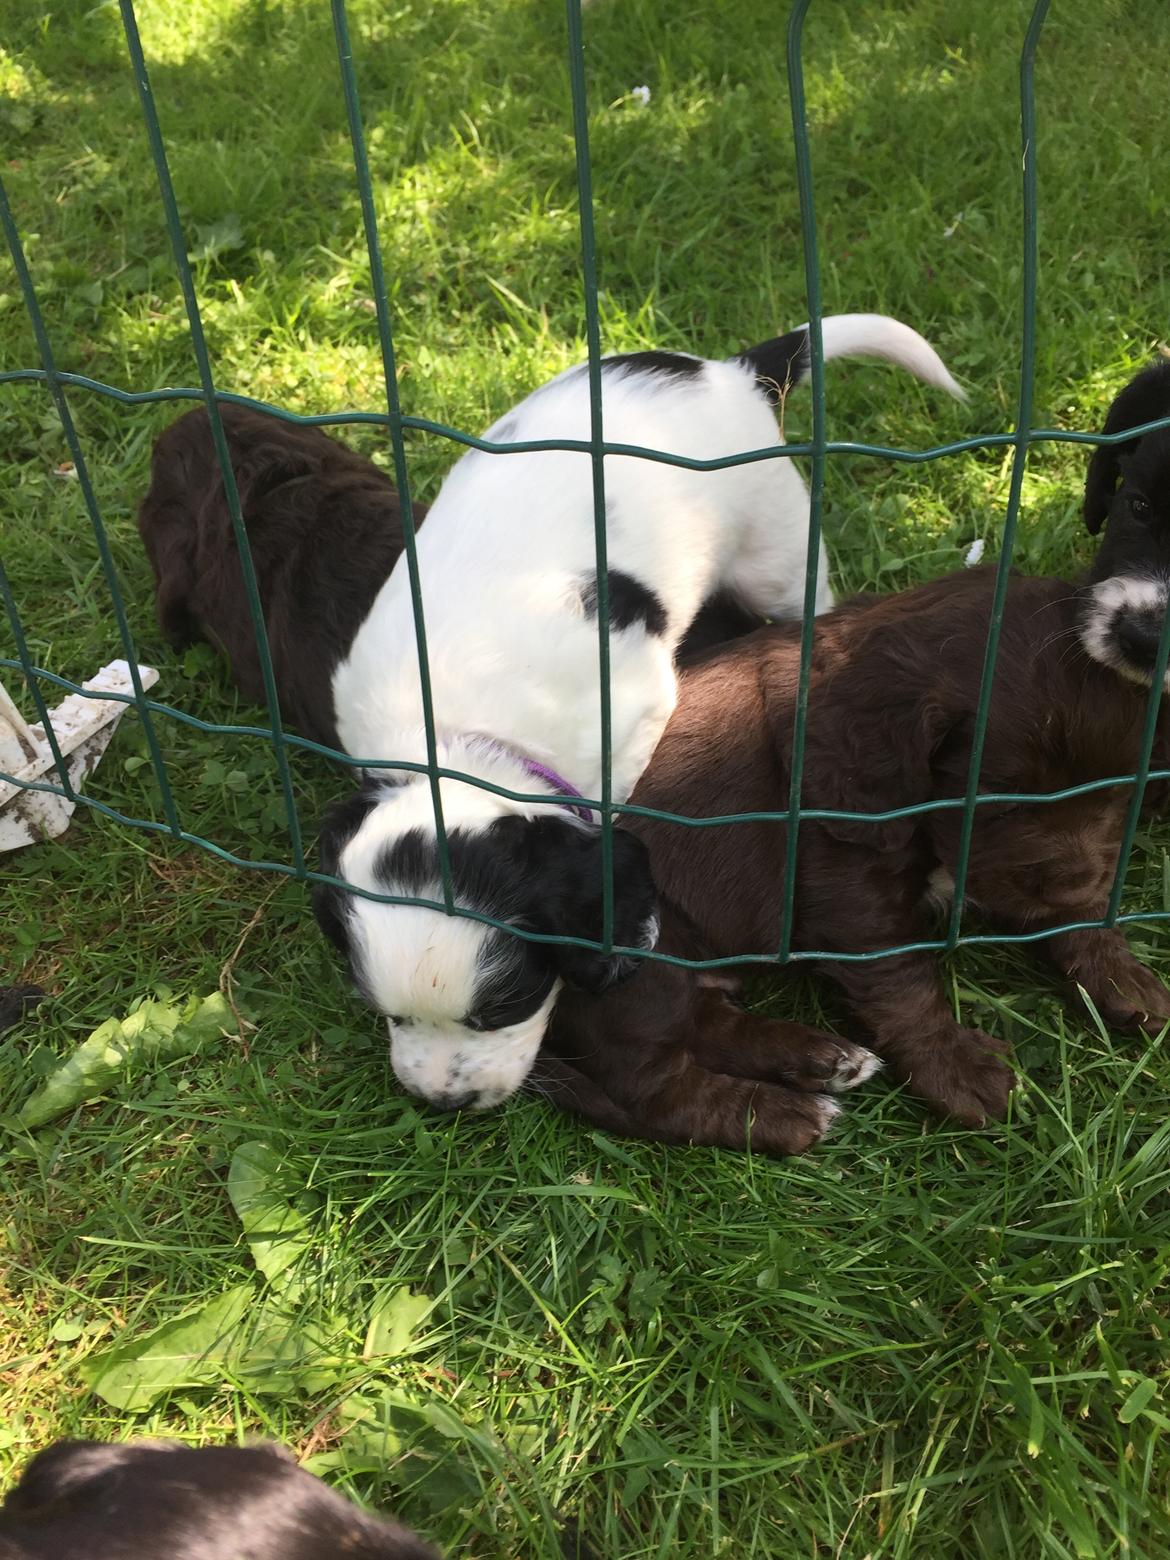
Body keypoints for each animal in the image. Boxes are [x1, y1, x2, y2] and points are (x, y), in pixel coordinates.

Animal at [316, 313, 967, 1110]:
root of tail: (729, 372)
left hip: (775, 551)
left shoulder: (632, 719)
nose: (443, 1103)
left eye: (505, 1006)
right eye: (387, 1014)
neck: (461, 746)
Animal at [546, 567, 1170, 1141]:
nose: (1073, 885)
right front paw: (959, 1069)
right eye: (997, 796)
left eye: (1118, 790)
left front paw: (1120, 975)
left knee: (708, 1025)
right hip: (641, 951)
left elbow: (1077, 911)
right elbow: (904, 985)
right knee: (654, 1092)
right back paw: (785, 1115)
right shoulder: (852, 890)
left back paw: (822, 1059)